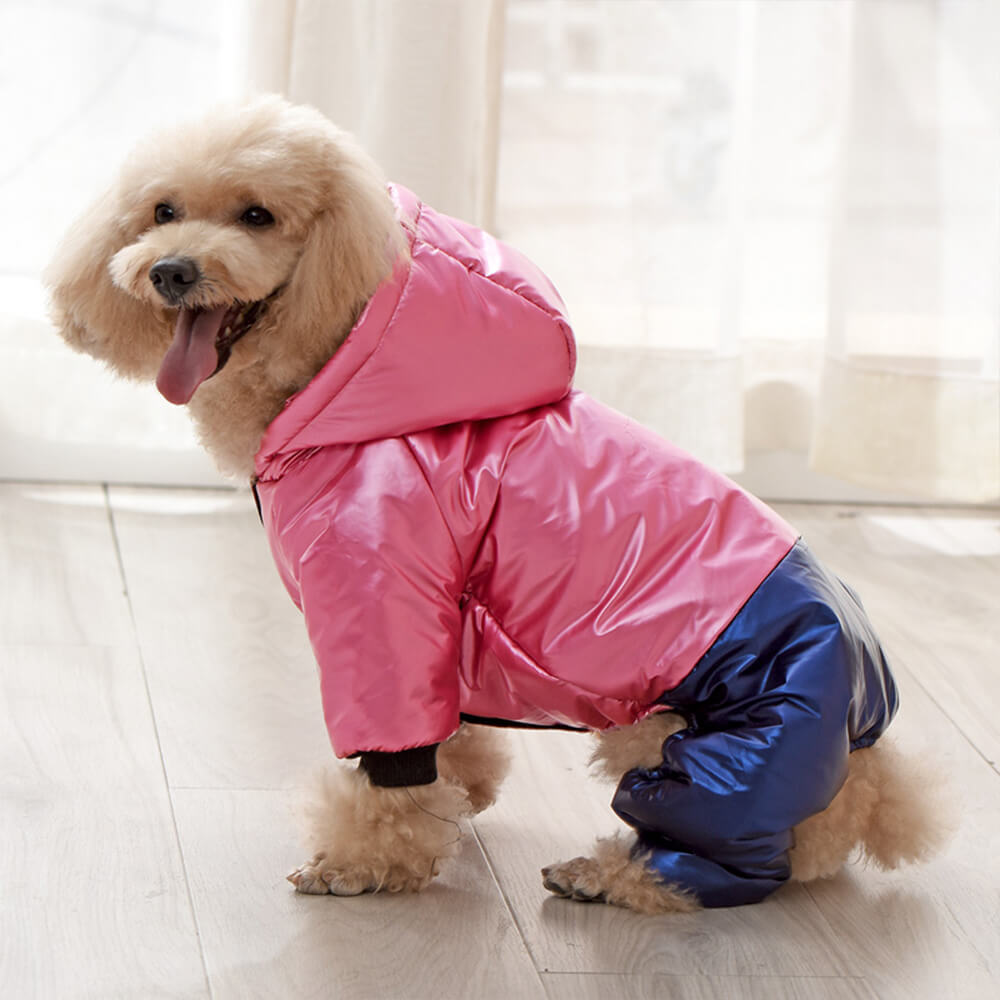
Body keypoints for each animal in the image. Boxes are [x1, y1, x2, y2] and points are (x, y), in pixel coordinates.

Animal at [43, 95, 944, 916]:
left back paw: (612, 875)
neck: (342, 371)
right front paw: (456, 790)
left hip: (713, 744)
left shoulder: (379, 596)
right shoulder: (436, 635)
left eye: (257, 215)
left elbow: (388, 763)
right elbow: (446, 734)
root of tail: (871, 742)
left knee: (738, 866)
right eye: (162, 212)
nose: (170, 270)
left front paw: (362, 862)